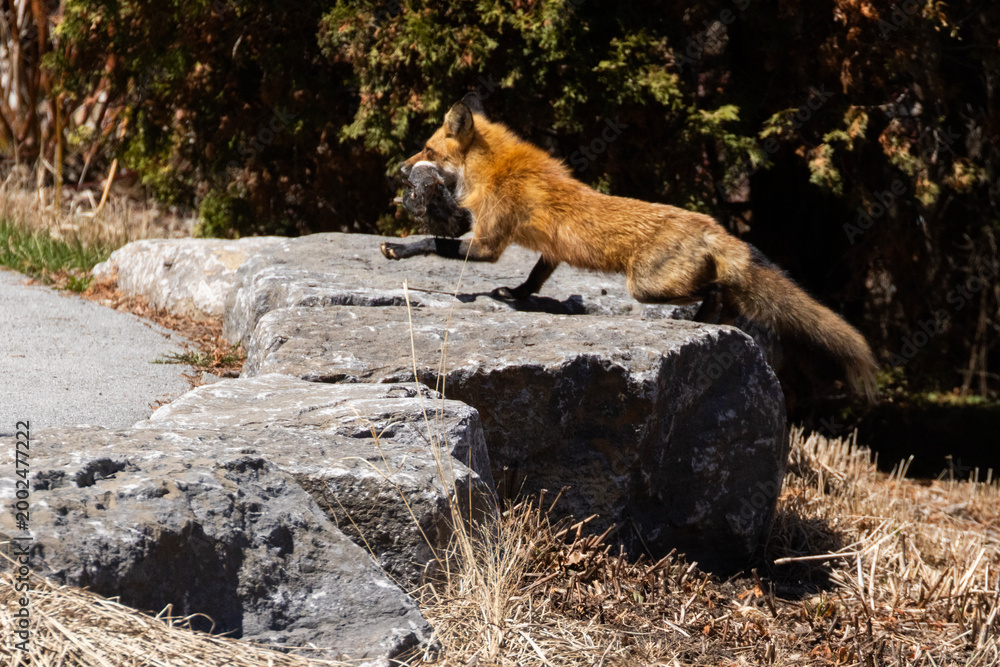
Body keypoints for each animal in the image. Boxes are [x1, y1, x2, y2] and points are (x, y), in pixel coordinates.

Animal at [380, 99, 879, 400]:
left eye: (426, 150)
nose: (399, 169)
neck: (494, 171)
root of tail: (715, 227)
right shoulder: (550, 251)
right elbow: (535, 277)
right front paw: (517, 295)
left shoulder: (488, 243)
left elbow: (434, 243)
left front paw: (398, 249)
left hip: (645, 286)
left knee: (717, 290)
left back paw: (701, 319)